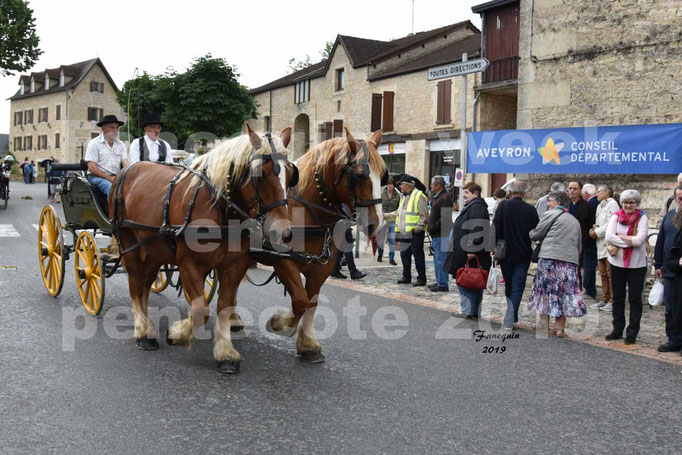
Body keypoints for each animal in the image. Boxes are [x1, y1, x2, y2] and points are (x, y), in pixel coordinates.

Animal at [109, 125, 294, 374]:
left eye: (290, 173)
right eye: (260, 174)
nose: (282, 232)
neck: (219, 207)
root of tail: (126, 169)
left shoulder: (234, 265)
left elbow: (224, 306)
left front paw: (225, 353)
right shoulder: (189, 264)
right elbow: (200, 310)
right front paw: (177, 334)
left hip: (154, 248)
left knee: (146, 282)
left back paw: (147, 324)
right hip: (128, 242)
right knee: (136, 282)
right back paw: (142, 331)